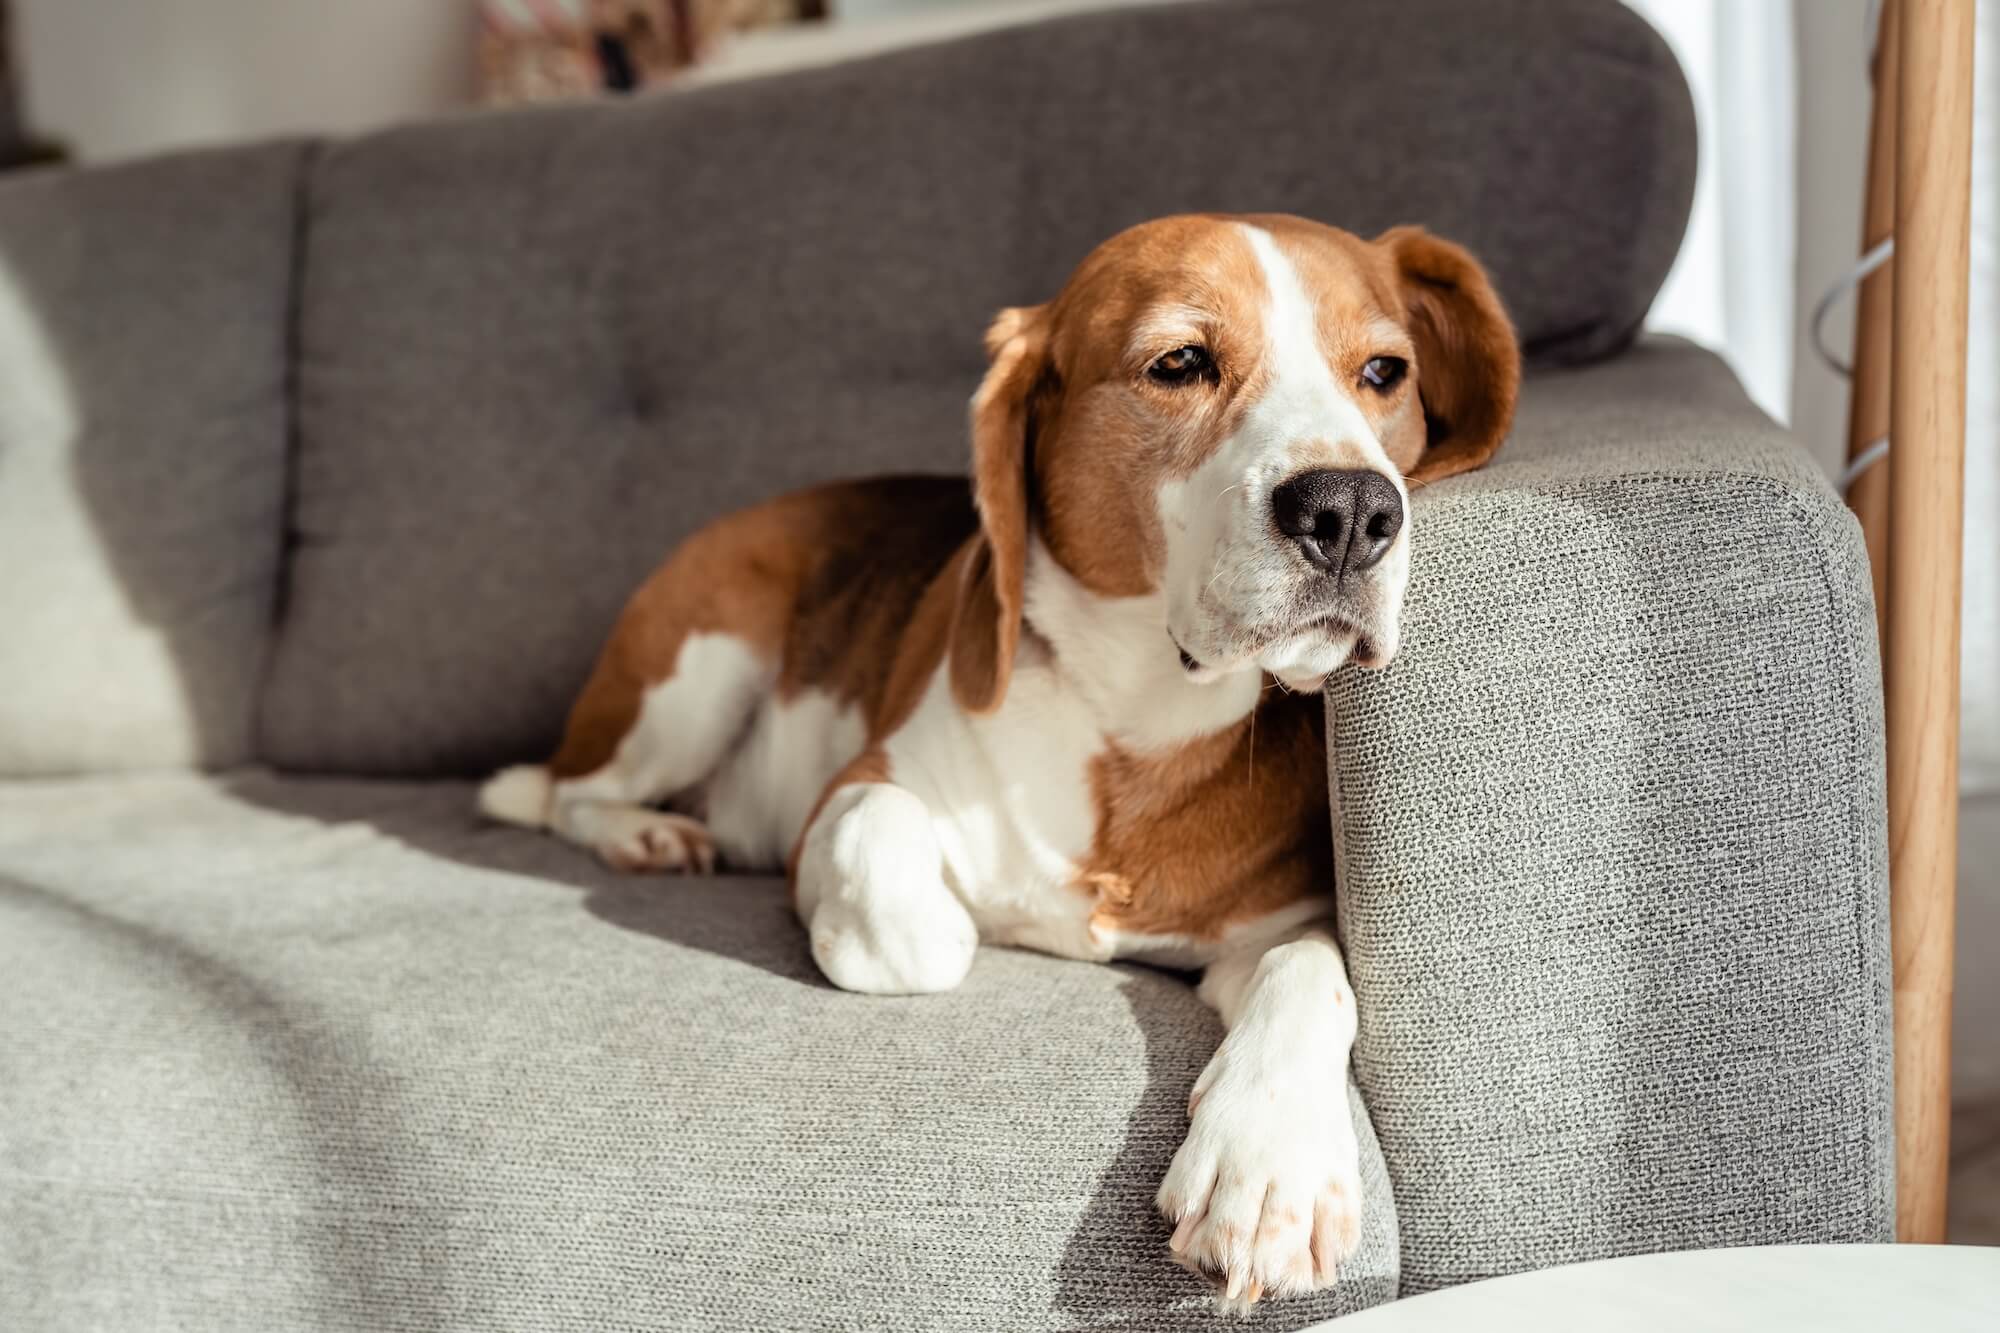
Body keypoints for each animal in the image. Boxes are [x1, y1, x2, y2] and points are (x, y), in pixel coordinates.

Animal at [484, 213, 1512, 1304]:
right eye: (1180, 363)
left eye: (1383, 371)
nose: (1351, 511)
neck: (1135, 715)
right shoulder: (852, 796)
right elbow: (904, 898)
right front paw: (978, 919)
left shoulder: (1272, 925)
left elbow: (1311, 972)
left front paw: (1267, 1163)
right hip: (698, 667)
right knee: (570, 792)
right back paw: (646, 834)